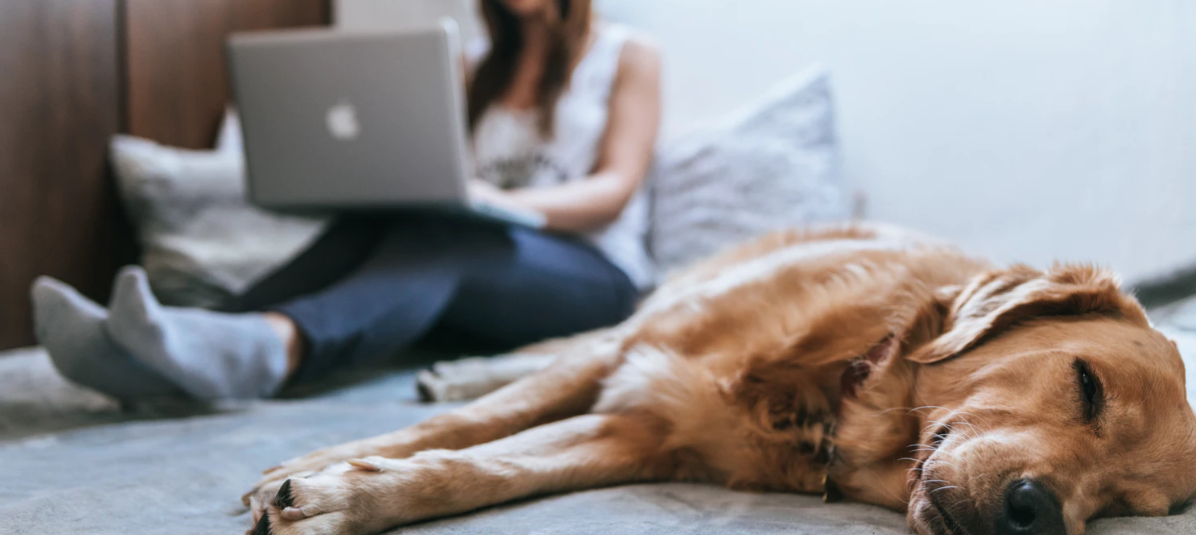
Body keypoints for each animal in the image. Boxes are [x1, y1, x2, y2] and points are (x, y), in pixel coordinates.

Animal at [242, 223, 1196, 533]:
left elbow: (481, 467)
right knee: (552, 346)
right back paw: (456, 370)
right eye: (1086, 384)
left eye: (1124, 505)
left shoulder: (636, 432)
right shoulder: (632, 356)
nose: (1036, 512)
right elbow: (463, 432)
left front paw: (346, 495)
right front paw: (321, 464)